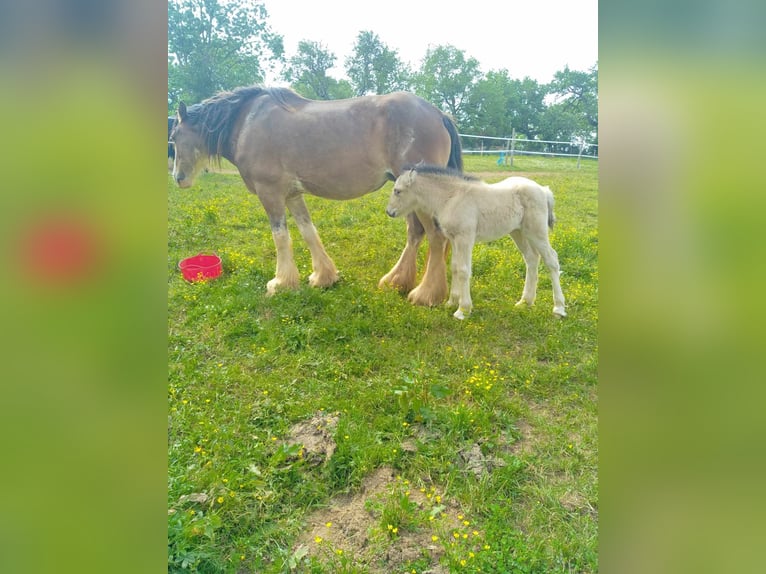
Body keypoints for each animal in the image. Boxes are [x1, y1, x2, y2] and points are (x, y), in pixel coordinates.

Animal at [171, 85, 462, 306]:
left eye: (173, 136)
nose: (178, 179)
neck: (247, 123)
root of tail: (438, 113)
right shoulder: (292, 194)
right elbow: (308, 231)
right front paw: (323, 276)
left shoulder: (270, 193)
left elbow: (280, 236)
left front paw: (281, 282)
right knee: (415, 233)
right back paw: (396, 282)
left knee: (436, 237)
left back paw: (426, 294)